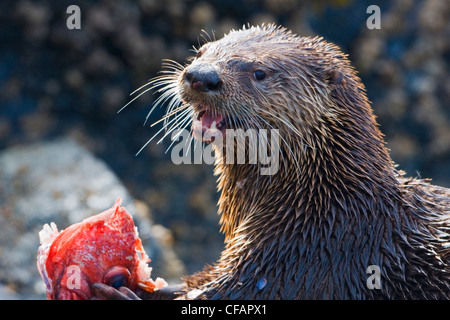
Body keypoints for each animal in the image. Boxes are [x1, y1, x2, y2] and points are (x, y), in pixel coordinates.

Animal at [96, 25, 448, 300]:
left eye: (260, 73)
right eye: (200, 52)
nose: (201, 76)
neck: (325, 205)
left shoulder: (301, 260)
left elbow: (228, 291)